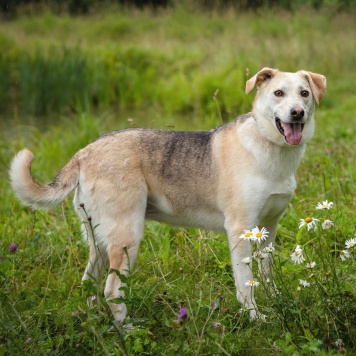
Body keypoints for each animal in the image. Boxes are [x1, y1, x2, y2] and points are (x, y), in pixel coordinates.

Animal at [9, 67, 326, 320]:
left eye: (304, 94)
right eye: (278, 93)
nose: (297, 113)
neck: (270, 148)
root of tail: (84, 152)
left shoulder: (267, 231)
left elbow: (267, 277)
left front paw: (275, 302)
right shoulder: (239, 231)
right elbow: (246, 285)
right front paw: (256, 318)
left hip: (99, 242)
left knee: (89, 284)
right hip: (128, 237)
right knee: (112, 292)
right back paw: (129, 333)